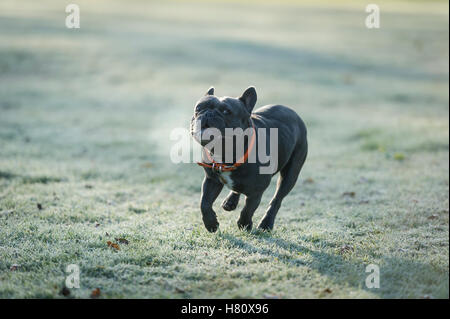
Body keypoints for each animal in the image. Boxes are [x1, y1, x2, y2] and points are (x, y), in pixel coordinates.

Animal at [190, 87, 310, 232]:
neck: (225, 154)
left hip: (290, 174)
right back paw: (230, 201)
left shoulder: (256, 191)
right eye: (198, 108)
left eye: (226, 111)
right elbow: (204, 203)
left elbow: (248, 209)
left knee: (277, 199)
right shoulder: (211, 180)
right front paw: (211, 224)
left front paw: (245, 224)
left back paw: (266, 224)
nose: (208, 113)